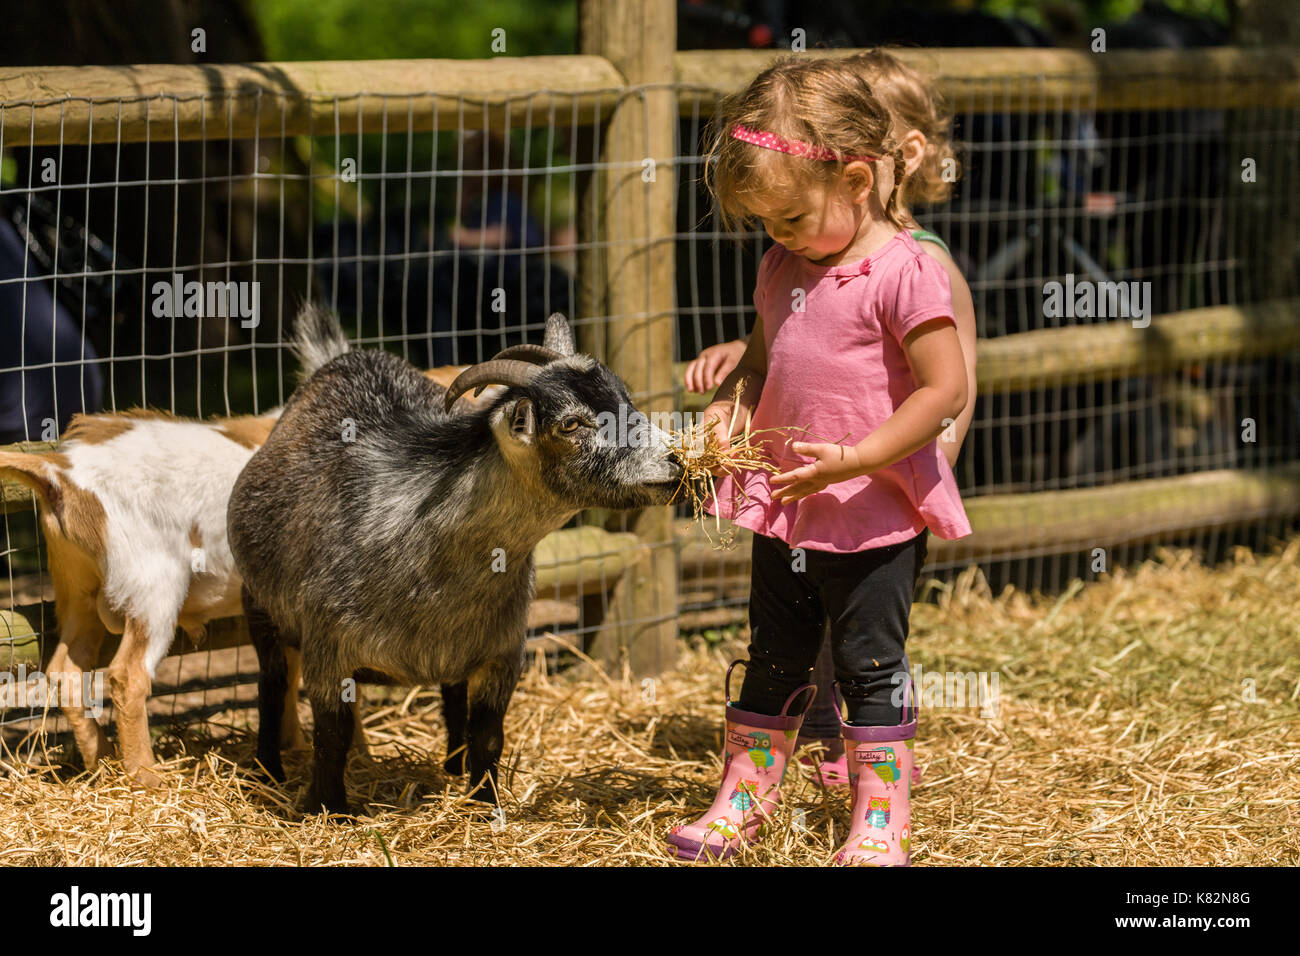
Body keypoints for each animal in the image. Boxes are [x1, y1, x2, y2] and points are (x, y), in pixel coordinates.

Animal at [228, 306, 686, 816]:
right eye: (571, 423)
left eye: (626, 398)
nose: (677, 459)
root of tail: (339, 359)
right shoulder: (328, 650)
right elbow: (331, 735)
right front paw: (328, 810)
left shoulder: (503, 653)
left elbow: (488, 736)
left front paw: (486, 805)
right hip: (257, 602)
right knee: (270, 686)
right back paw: (267, 769)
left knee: (451, 692)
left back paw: (452, 764)